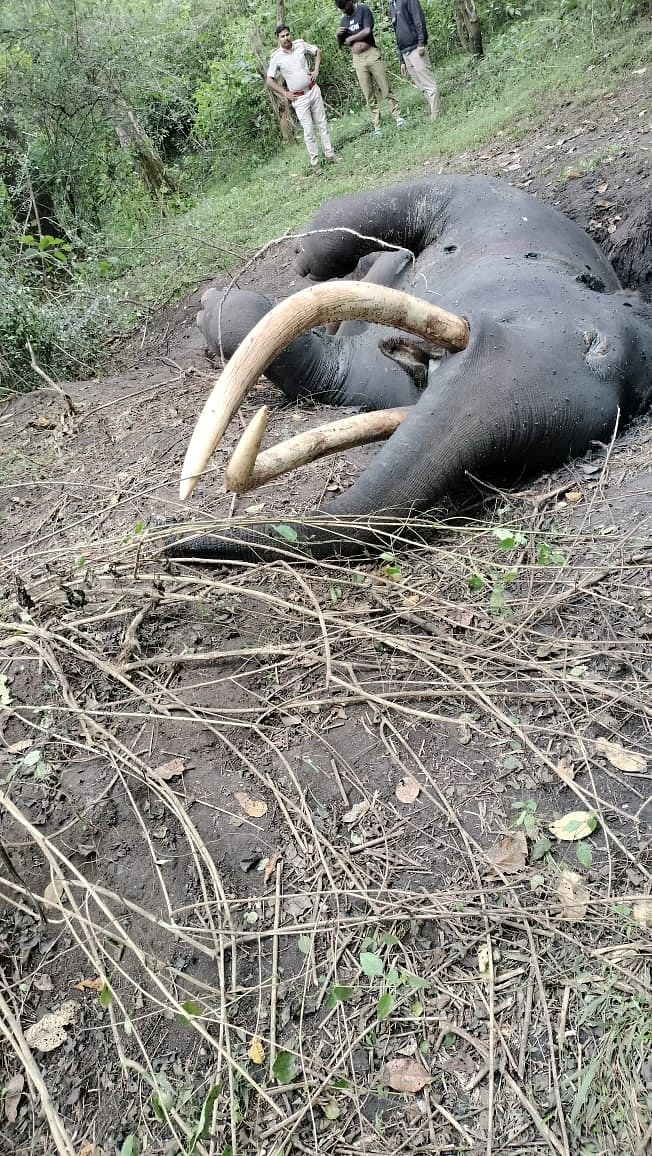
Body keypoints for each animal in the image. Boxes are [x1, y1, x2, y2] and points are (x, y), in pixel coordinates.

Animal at [167, 172, 652, 564]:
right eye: (594, 342)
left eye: (634, 399)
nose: (175, 541)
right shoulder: (494, 206)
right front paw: (224, 299)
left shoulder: (366, 383)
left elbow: (317, 368)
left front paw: (215, 308)